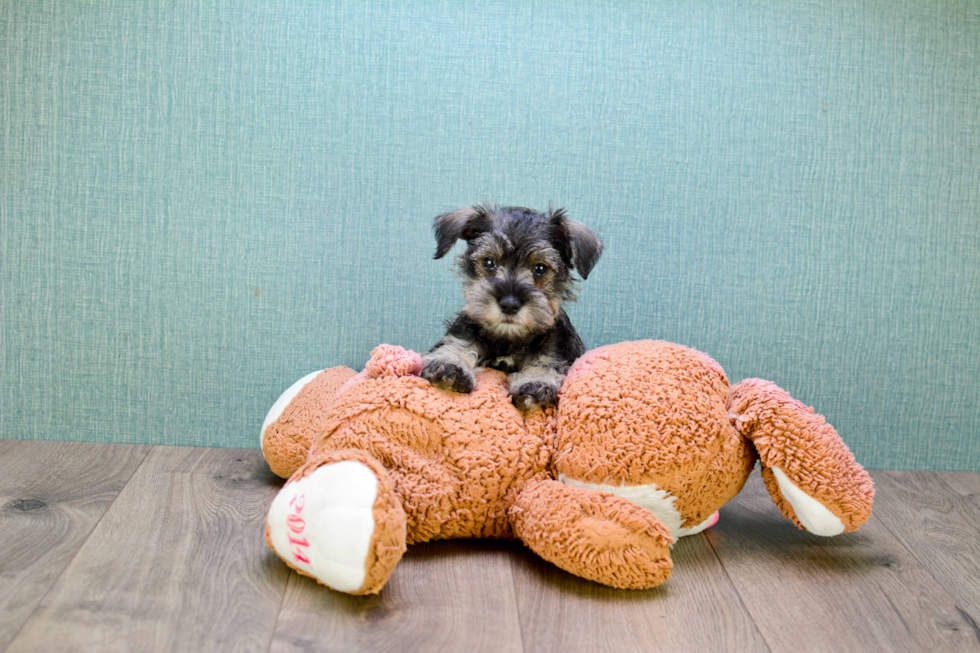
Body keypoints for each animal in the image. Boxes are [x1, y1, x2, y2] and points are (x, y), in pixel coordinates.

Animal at [424, 201, 604, 410]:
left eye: (540, 268)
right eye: (489, 262)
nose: (509, 304)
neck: (509, 339)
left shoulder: (558, 349)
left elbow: (546, 362)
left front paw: (535, 382)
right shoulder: (463, 331)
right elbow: (458, 345)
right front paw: (450, 365)